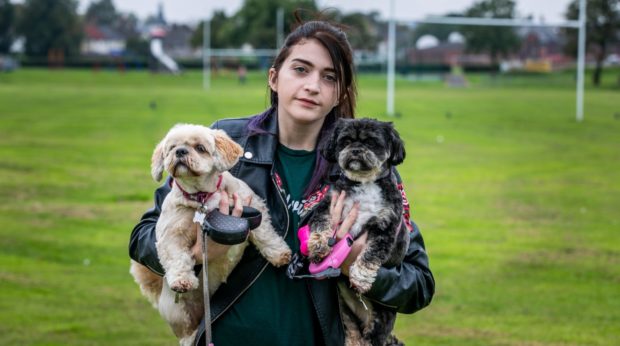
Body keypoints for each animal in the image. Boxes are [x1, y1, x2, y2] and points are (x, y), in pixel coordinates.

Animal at [306, 117, 412, 344]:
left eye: (371, 142)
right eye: (345, 141)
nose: (355, 150)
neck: (366, 184)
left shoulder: (385, 226)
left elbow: (371, 254)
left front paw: (361, 277)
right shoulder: (329, 205)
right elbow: (321, 224)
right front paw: (318, 244)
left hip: (381, 318)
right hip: (344, 311)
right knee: (353, 332)